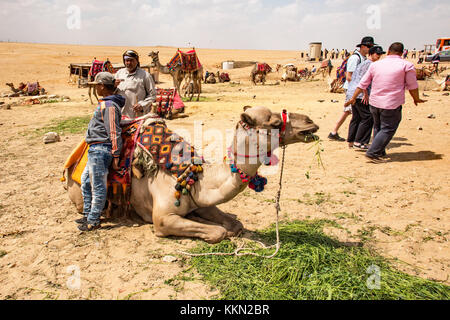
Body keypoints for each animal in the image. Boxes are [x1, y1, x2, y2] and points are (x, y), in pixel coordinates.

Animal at [66, 106, 320, 244]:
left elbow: (234, 223)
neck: (193, 177)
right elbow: (218, 231)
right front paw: (212, 228)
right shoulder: (162, 219)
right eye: (274, 123)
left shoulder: (200, 200)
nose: (311, 122)